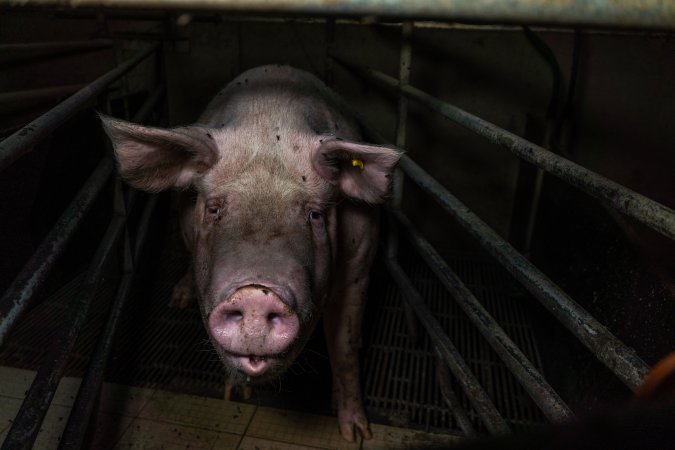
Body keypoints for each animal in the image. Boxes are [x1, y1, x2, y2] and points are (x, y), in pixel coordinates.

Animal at [100, 65, 402, 442]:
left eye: (314, 214)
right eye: (214, 209)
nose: (257, 293)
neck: (269, 125)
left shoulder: (360, 266)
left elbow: (344, 348)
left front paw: (356, 433)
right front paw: (234, 395)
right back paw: (178, 300)